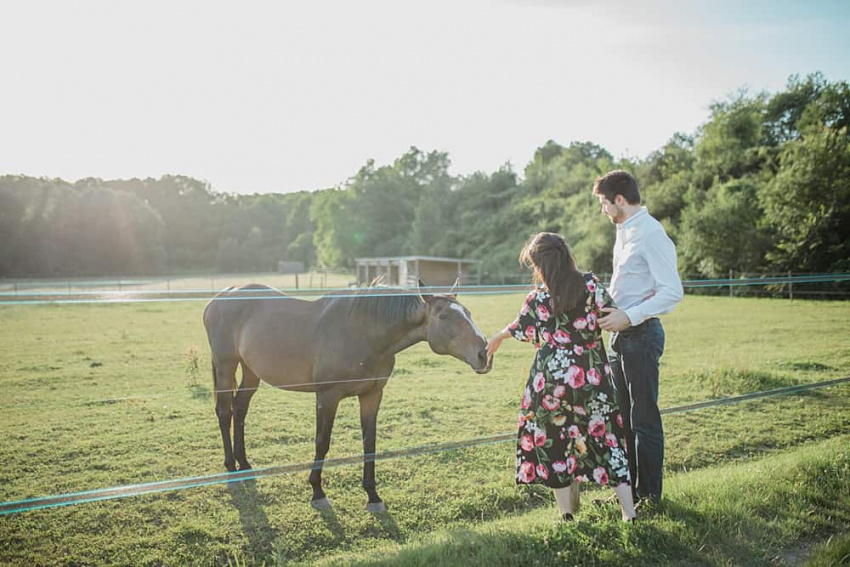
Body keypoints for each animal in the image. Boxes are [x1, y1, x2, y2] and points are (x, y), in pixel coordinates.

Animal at [203, 280, 491, 512]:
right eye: (443, 316)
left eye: (468, 313)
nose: (483, 354)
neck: (364, 334)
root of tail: (220, 298)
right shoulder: (327, 397)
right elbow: (322, 442)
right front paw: (317, 492)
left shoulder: (372, 395)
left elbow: (369, 443)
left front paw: (373, 496)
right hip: (226, 365)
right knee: (225, 411)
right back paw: (231, 467)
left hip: (251, 371)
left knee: (240, 409)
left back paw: (244, 463)